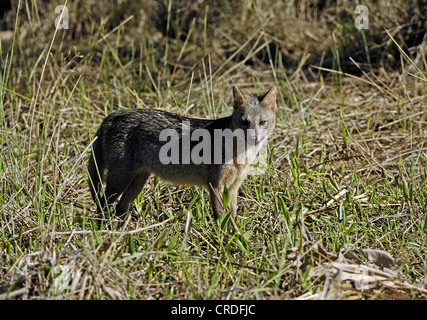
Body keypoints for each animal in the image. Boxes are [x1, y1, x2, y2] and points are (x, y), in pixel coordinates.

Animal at [88, 85, 280, 225]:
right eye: (244, 122)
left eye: (262, 122)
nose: (254, 138)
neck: (240, 155)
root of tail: (113, 115)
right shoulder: (215, 186)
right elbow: (221, 218)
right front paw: (227, 240)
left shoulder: (232, 187)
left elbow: (231, 216)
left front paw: (235, 236)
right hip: (120, 181)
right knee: (102, 205)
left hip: (136, 182)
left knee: (119, 208)